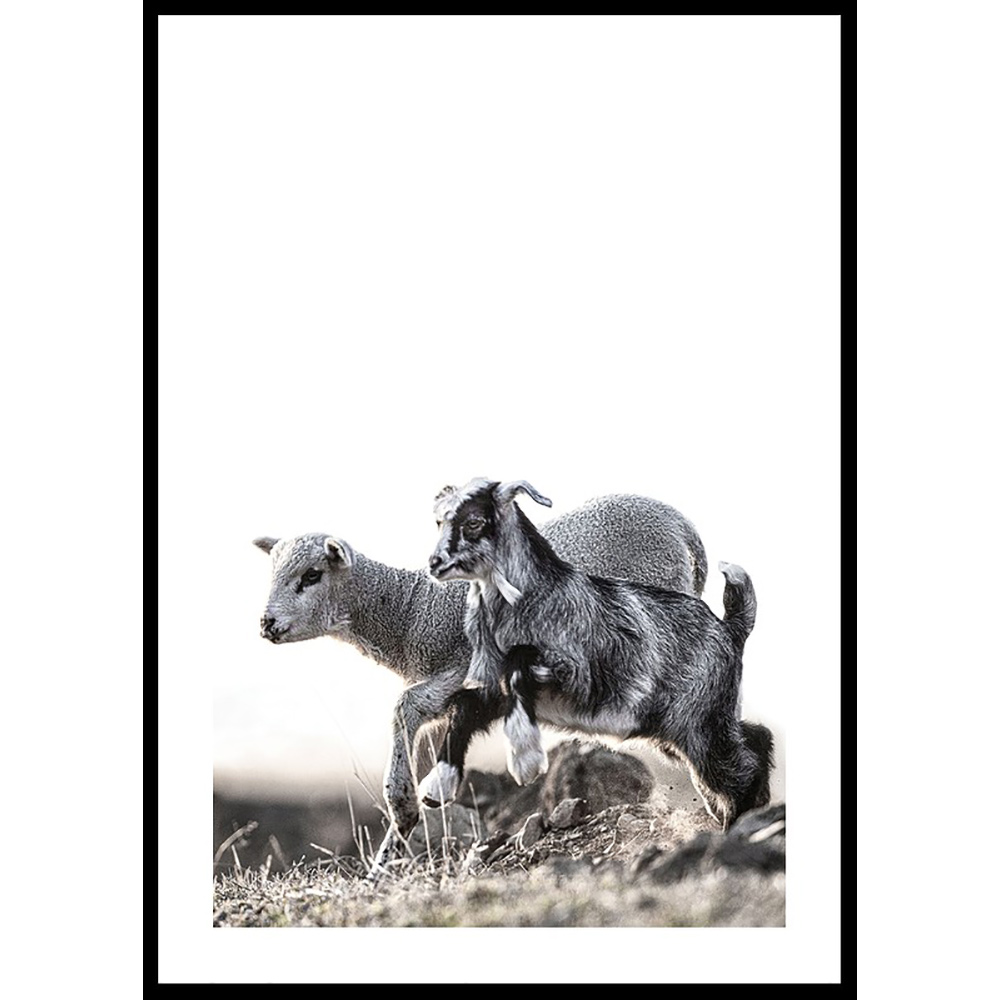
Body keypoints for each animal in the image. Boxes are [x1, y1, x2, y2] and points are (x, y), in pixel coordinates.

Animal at [253, 493, 708, 871]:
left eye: (312, 575)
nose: (266, 623)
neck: (411, 610)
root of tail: (683, 526)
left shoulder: (460, 668)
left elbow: (406, 708)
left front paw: (404, 812)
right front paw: (388, 855)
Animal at [426, 478, 774, 830]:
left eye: (473, 522)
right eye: (439, 521)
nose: (434, 565)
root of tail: (730, 627)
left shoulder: (576, 674)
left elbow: (517, 667)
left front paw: (525, 759)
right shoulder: (489, 688)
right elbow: (464, 708)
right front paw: (437, 786)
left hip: (698, 723)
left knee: (736, 767)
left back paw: (737, 822)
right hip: (689, 724)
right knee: (753, 738)